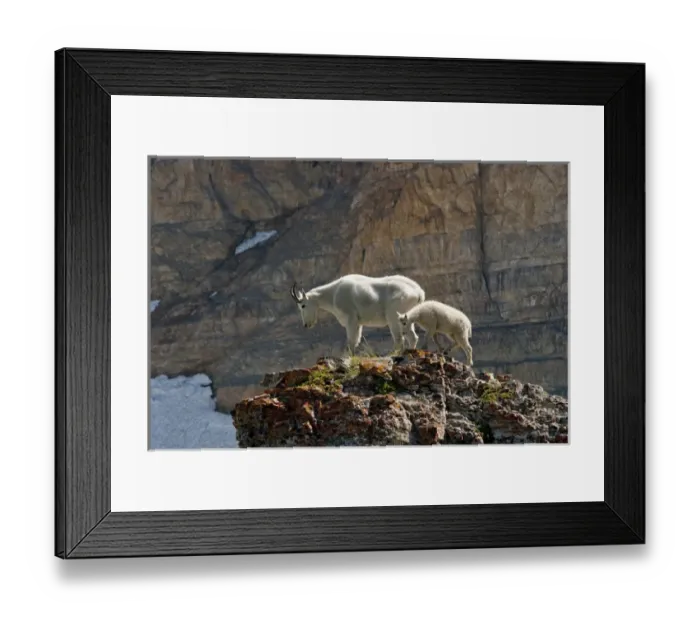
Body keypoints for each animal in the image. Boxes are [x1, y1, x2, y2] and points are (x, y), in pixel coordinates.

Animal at [290, 274, 425, 355]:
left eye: (303, 305)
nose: (306, 324)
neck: (333, 294)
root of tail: (418, 292)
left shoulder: (351, 319)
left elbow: (351, 341)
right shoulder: (358, 323)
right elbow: (356, 340)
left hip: (394, 314)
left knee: (399, 338)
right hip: (407, 318)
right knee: (412, 337)